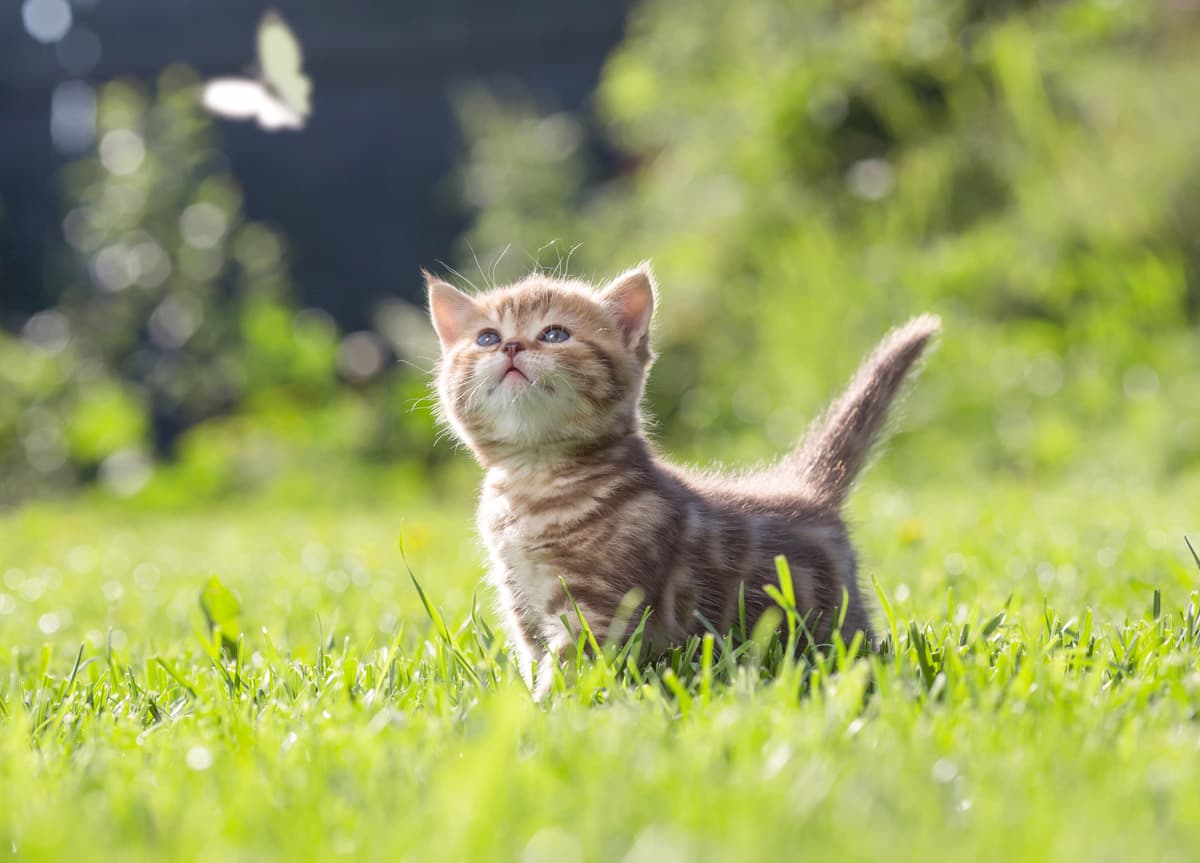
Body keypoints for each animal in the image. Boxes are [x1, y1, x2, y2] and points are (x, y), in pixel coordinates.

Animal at [427, 262, 940, 696]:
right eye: (487, 338)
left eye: (554, 333)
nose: (511, 346)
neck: (535, 483)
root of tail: (803, 487)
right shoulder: (522, 605)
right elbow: (536, 660)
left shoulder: (598, 609)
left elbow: (569, 671)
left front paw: (545, 717)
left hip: (839, 624)